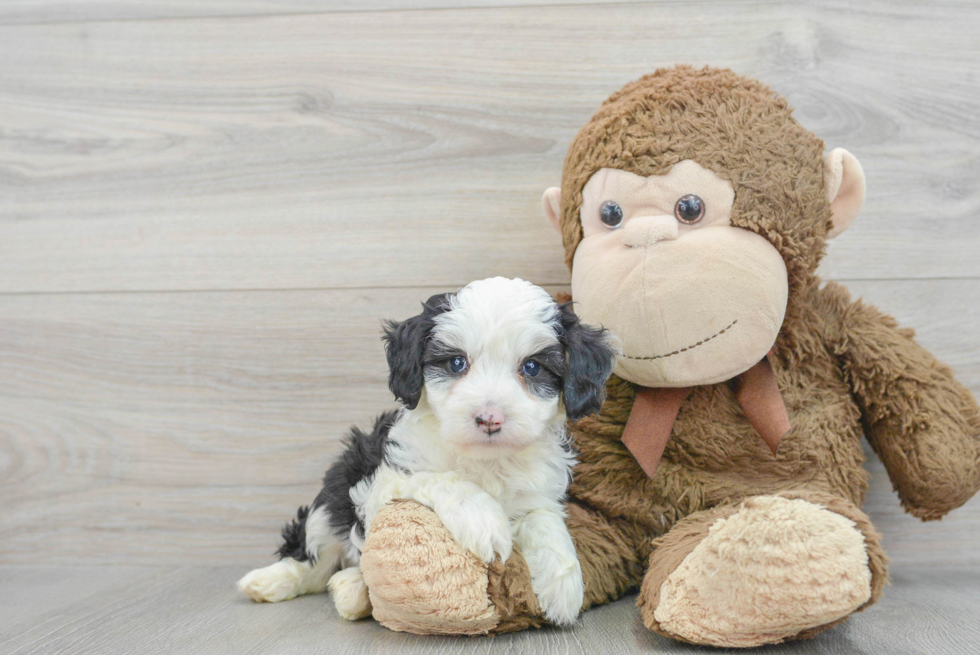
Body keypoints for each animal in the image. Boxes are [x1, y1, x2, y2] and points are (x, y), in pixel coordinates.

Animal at [238, 276, 616, 624]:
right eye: (456, 363)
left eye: (533, 367)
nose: (489, 418)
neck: (485, 460)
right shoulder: (385, 479)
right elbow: (440, 478)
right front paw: (483, 517)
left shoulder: (537, 490)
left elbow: (544, 518)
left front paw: (563, 582)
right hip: (339, 481)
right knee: (314, 556)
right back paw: (271, 582)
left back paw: (350, 588)